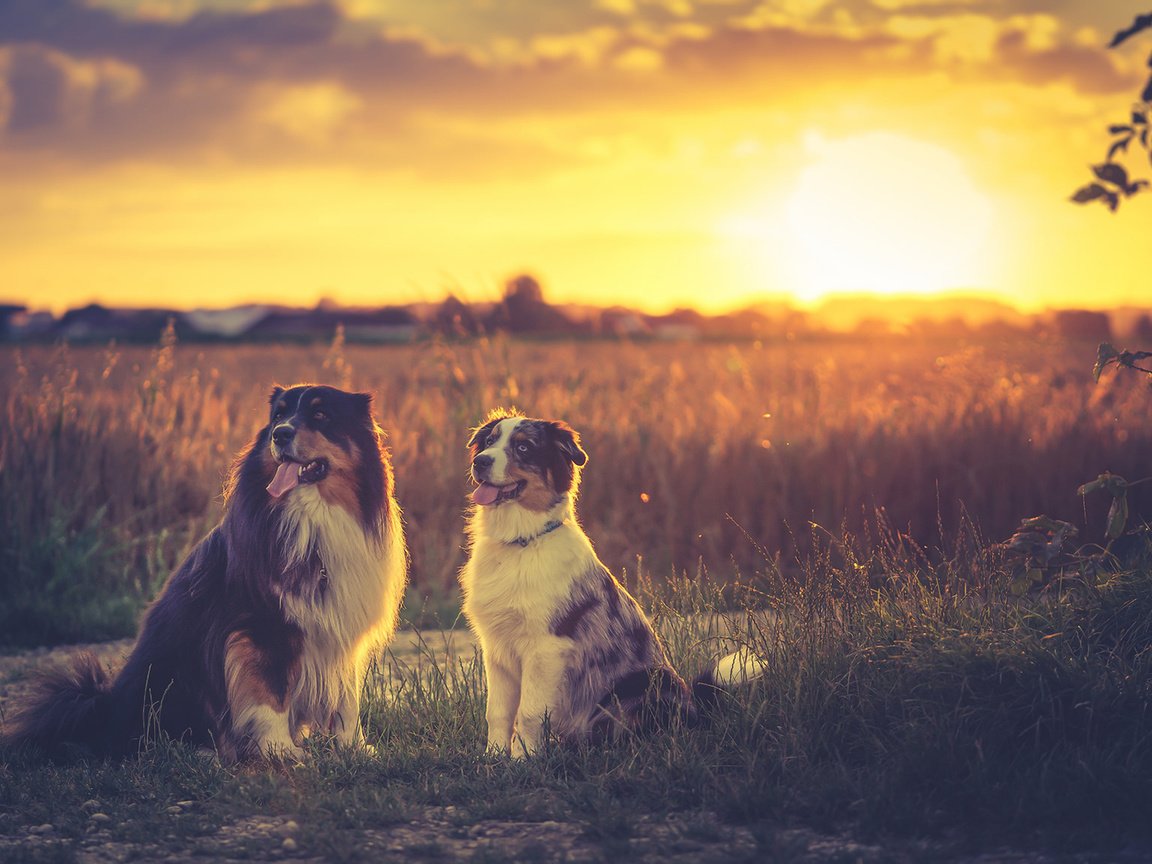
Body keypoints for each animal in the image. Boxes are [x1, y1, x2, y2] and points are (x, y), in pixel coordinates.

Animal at [2, 382, 407, 760]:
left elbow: (346, 699)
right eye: (279, 414)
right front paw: (280, 750)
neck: (315, 514)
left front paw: (354, 748)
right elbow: (271, 692)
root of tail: (104, 711)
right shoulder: (260, 625)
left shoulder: (340, 628)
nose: (280, 434)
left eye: (321, 415)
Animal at [458, 412, 764, 755]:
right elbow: (497, 712)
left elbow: (528, 713)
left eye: (524, 447)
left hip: (642, 686)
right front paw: (495, 757)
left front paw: (524, 758)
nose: (480, 461)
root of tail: (695, 709)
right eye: (488, 441)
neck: (521, 543)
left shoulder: (547, 646)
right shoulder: (498, 648)